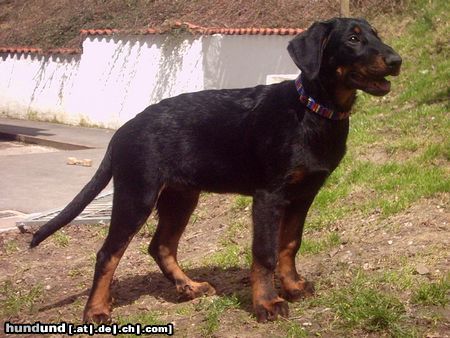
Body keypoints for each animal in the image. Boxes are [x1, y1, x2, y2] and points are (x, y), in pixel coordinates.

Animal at [30, 17, 400, 322]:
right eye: (353, 38)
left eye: (376, 34)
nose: (397, 61)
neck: (313, 111)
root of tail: (122, 132)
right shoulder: (269, 196)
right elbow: (265, 253)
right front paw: (266, 303)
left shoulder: (304, 194)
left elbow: (289, 244)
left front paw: (293, 287)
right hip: (137, 194)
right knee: (108, 253)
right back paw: (96, 310)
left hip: (180, 197)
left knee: (161, 246)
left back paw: (189, 287)